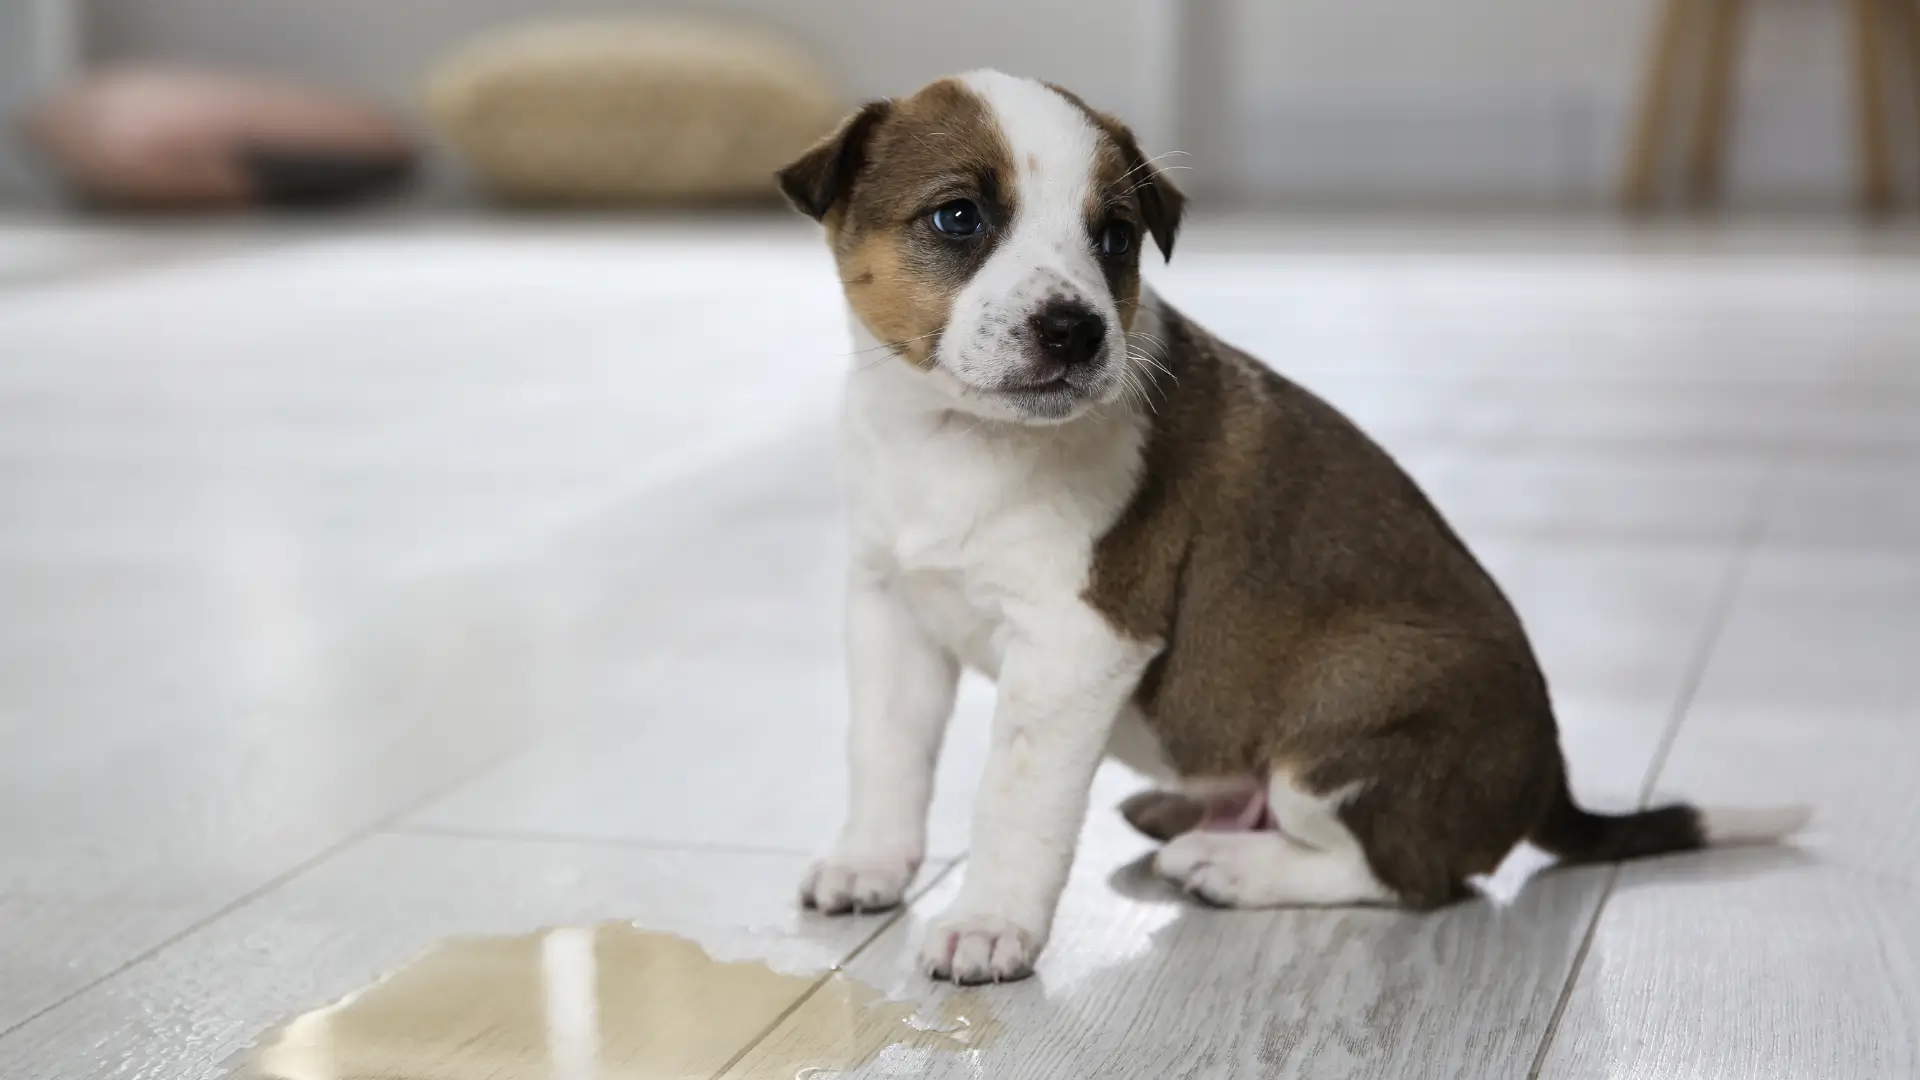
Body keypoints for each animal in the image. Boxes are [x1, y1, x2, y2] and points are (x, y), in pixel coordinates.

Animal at [771, 69, 1804, 983]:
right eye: (958, 217)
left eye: (1114, 237)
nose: (1076, 330)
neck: (952, 438)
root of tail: (1549, 780)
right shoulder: (892, 609)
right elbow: (887, 755)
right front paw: (870, 861)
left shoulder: (1076, 646)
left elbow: (1014, 802)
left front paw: (990, 924)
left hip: (1348, 711)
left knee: (1411, 876)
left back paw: (1229, 865)